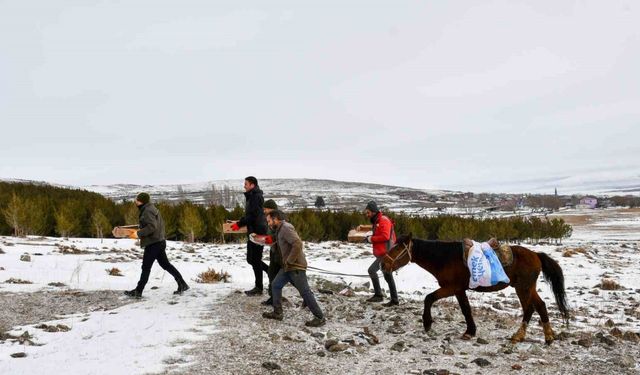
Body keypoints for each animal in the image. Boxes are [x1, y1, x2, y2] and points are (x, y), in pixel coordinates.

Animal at [380, 235, 568, 346]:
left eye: (398, 248)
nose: (383, 264)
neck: (445, 258)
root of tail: (536, 255)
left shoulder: (451, 287)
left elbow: (429, 298)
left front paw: (427, 323)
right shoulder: (459, 290)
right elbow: (466, 309)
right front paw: (470, 331)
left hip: (523, 288)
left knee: (529, 308)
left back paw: (520, 335)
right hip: (527, 287)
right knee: (540, 305)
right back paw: (547, 336)